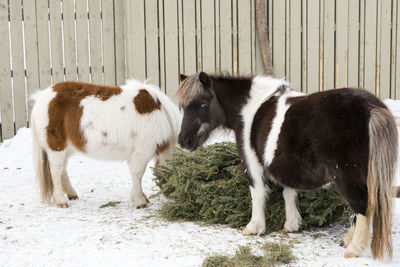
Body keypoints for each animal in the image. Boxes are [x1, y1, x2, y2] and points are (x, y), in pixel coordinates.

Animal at [31, 79, 181, 209]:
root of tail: (42, 97)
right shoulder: (141, 152)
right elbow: (138, 175)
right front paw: (139, 200)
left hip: (67, 148)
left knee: (62, 170)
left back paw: (71, 194)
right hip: (56, 146)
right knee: (55, 171)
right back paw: (61, 200)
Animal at [177, 72, 396, 260]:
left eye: (203, 104)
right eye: (183, 107)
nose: (183, 142)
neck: (249, 108)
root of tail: (371, 108)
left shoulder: (252, 165)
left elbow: (257, 194)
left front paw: (254, 227)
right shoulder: (287, 166)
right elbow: (288, 193)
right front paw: (291, 225)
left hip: (348, 177)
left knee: (363, 206)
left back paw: (354, 249)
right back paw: (348, 241)